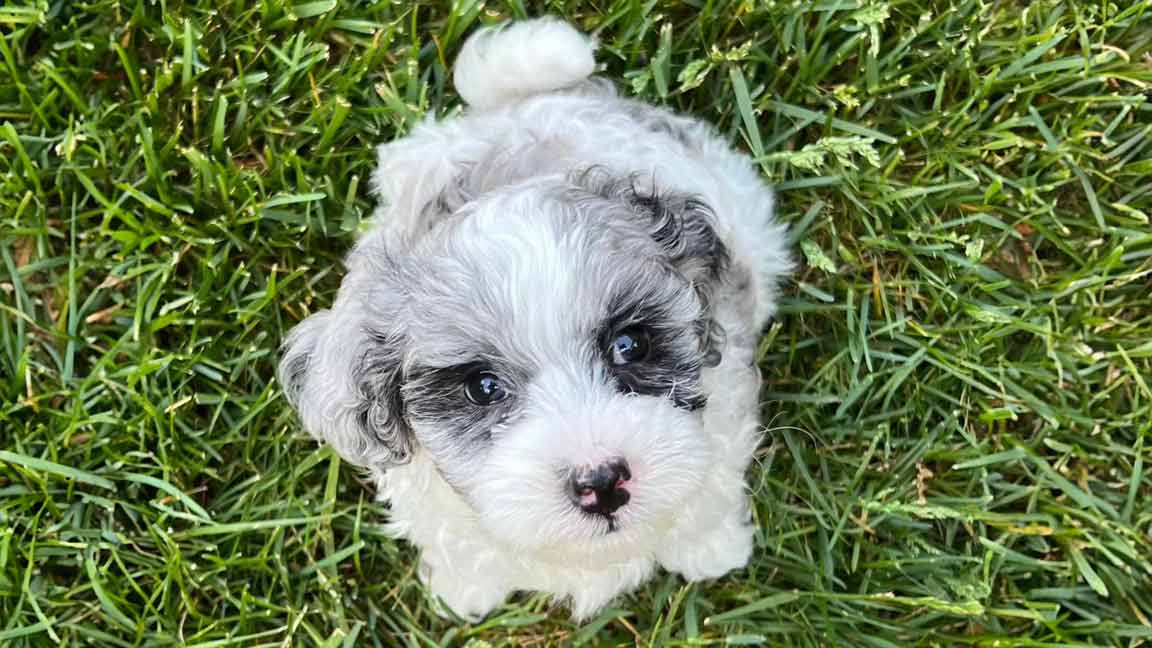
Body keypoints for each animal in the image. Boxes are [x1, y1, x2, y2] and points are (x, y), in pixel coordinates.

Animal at [278, 17, 792, 618]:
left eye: (630, 346)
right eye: (482, 387)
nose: (601, 482)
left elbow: (706, 498)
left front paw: (711, 548)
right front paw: (464, 590)